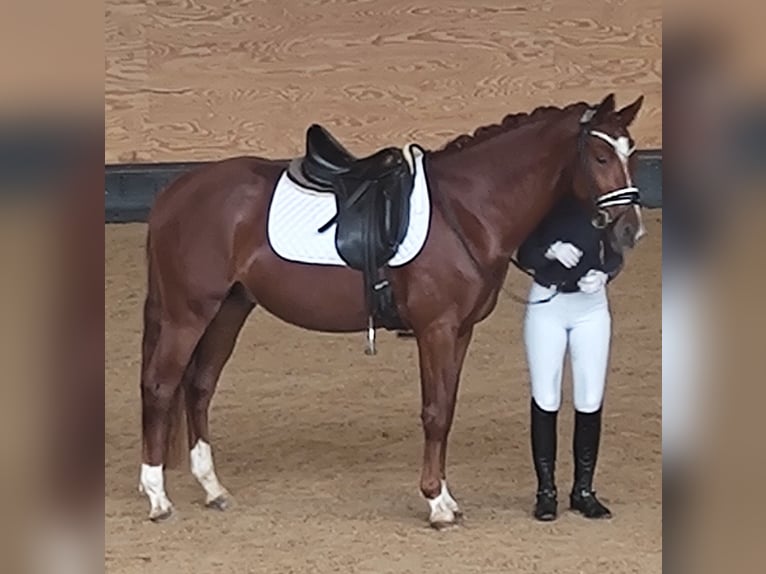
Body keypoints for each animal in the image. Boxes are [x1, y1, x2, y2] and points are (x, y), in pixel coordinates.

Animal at [140, 94, 648, 532]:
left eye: (632, 153)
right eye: (600, 158)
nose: (631, 230)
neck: (466, 209)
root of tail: (175, 191)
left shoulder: (460, 332)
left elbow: (448, 407)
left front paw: (445, 498)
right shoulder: (436, 330)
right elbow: (434, 412)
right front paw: (437, 503)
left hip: (229, 308)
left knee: (199, 386)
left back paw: (212, 489)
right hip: (189, 313)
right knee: (161, 387)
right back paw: (158, 497)